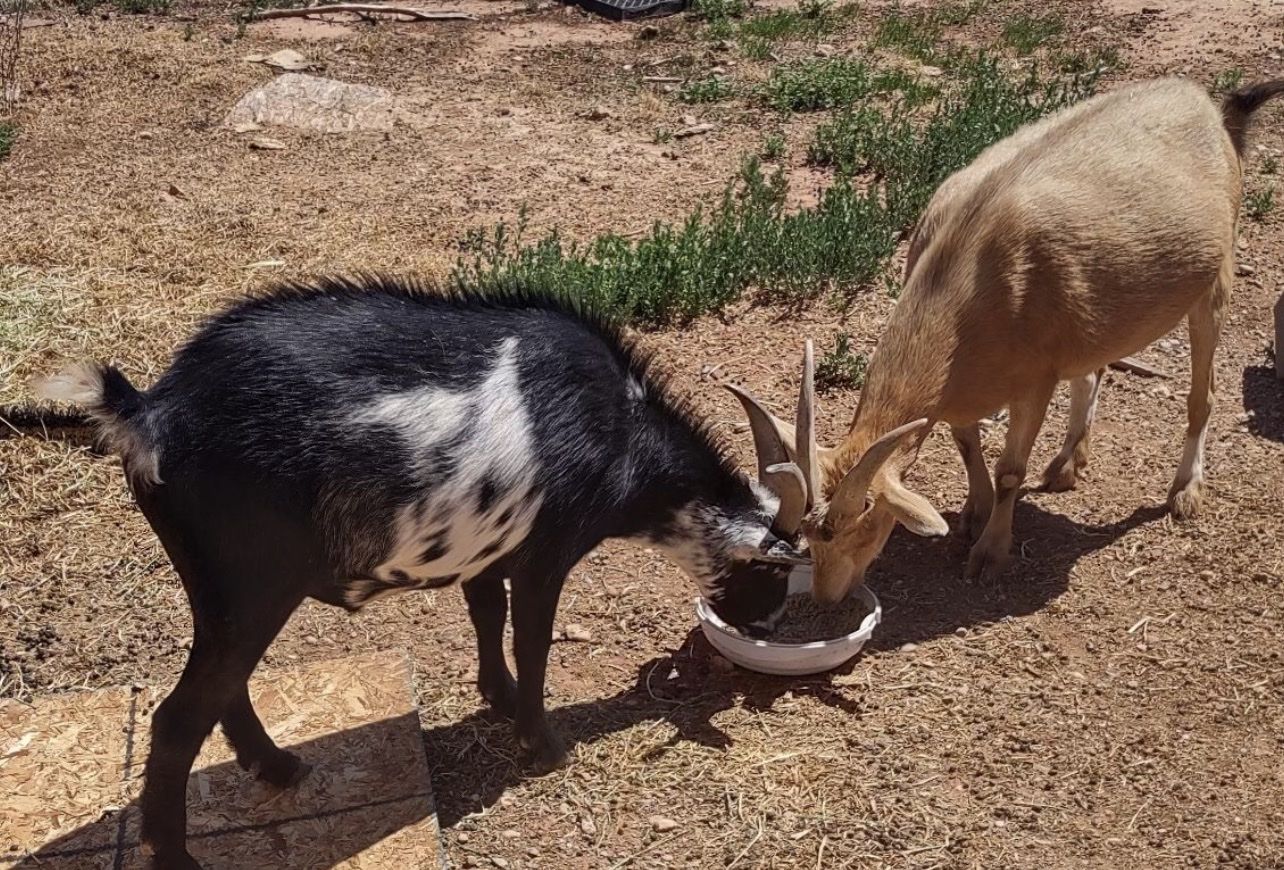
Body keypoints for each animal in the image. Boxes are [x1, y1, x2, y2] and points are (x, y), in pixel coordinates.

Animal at [37, 276, 810, 870]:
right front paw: (541, 743)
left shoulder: (489, 548)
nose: (769, 624)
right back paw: (181, 853)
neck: (618, 430)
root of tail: (152, 412)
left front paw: (497, 697)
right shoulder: (548, 551)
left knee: (224, 687)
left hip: (220, 592)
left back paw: (276, 766)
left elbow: (486, 614)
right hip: (252, 585)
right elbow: (533, 638)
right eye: (774, 572)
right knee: (178, 719)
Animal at [726, 76, 1284, 602]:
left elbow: (1010, 470)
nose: (825, 597)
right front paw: (974, 512)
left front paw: (989, 553)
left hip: (1215, 280)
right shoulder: (967, 380)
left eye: (862, 520)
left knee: (1202, 393)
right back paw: (1065, 466)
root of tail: (1208, 107)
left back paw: (1185, 491)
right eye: (808, 533)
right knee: (1093, 369)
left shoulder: (1034, 380)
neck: (971, 268)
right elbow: (965, 441)